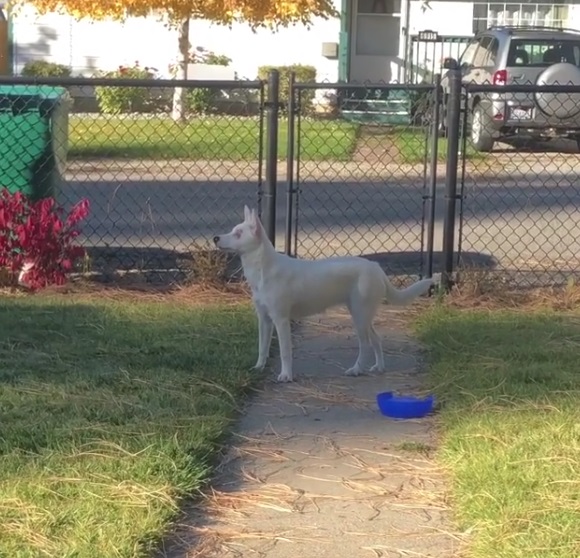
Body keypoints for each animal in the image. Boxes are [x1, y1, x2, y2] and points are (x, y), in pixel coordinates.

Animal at [214, 207, 436, 384]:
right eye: (233, 230)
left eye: (238, 233)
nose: (215, 238)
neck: (263, 268)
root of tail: (376, 268)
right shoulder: (264, 320)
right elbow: (262, 347)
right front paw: (259, 367)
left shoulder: (281, 320)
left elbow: (285, 352)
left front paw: (286, 375)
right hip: (363, 316)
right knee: (376, 340)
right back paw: (378, 367)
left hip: (359, 316)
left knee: (365, 345)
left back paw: (356, 369)